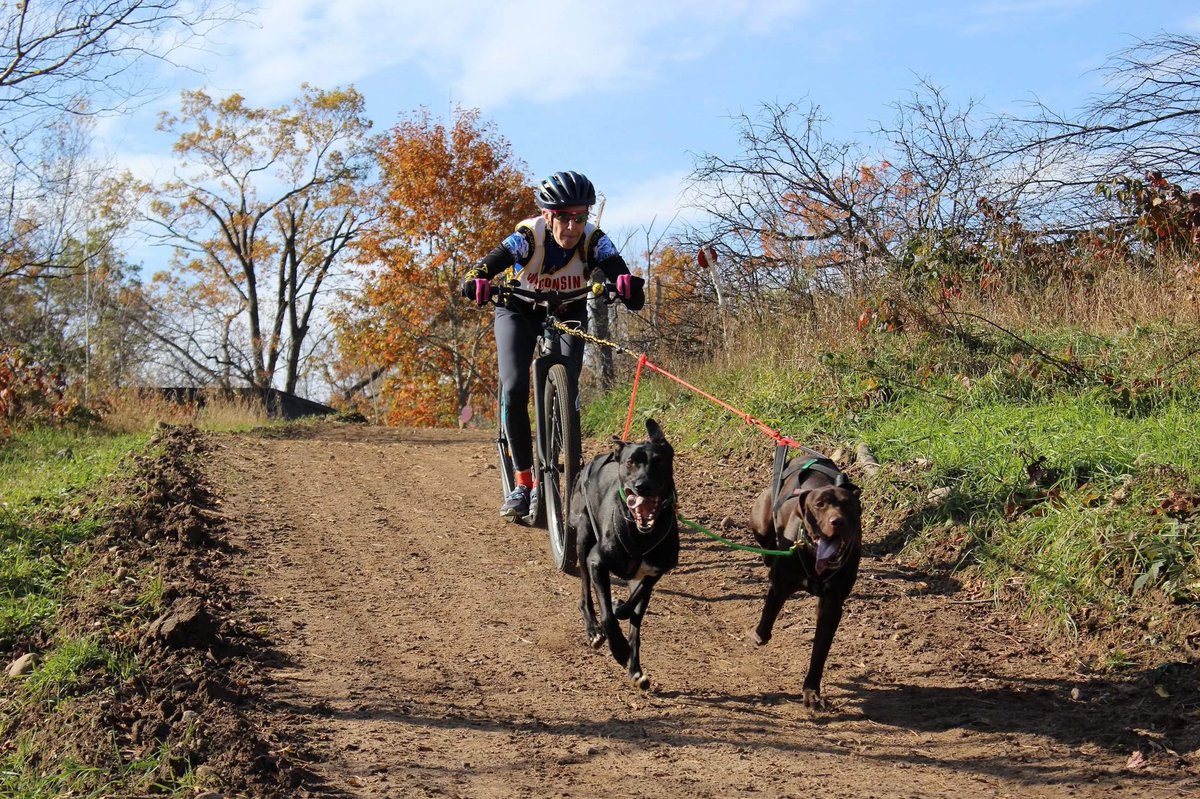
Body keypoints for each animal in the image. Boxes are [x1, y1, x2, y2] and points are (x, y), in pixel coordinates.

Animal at [568, 417, 681, 686]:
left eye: (659, 462)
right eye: (631, 462)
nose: (643, 485)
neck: (640, 535)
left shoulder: (653, 573)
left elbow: (631, 607)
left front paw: (620, 607)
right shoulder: (597, 562)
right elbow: (608, 616)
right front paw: (618, 649)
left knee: (636, 623)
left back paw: (635, 669)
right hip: (584, 536)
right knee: (585, 594)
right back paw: (593, 630)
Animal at [748, 451, 864, 705]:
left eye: (848, 505)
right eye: (819, 505)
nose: (837, 521)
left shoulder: (831, 604)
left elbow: (820, 651)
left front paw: (811, 691)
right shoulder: (780, 585)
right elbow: (769, 612)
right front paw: (759, 635)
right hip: (761, 523)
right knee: (767, 545)